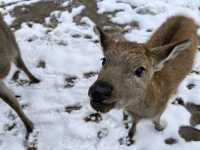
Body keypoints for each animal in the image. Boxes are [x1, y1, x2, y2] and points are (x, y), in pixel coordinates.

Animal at [88, 15, 198, 144]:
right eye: (103, 60)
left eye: (140, 69)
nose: (99, 90)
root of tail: (185, 16)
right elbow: (133, 125)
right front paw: (129, 135)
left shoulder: (160, 111)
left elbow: (156, 122)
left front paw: (160, 128)